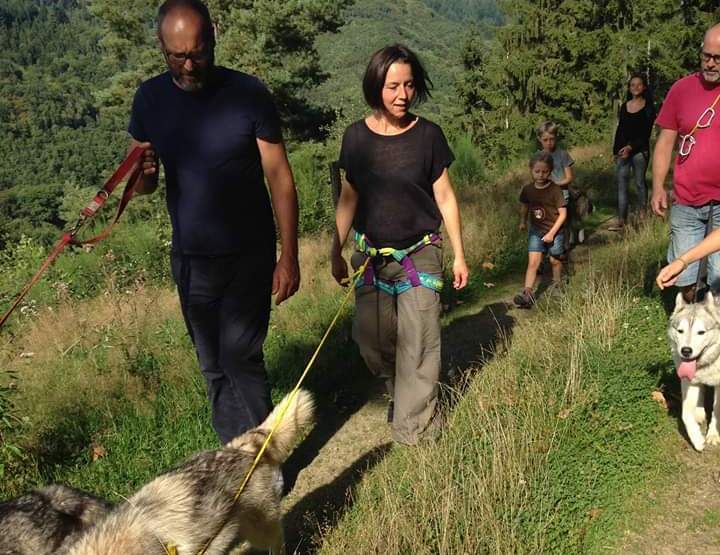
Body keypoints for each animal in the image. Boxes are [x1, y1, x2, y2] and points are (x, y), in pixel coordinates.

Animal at [668, 292, 720, 452]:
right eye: (680, 331)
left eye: (701, 332)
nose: (686, 351)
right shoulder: (688, 381)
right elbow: (685, 414)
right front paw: (697, 439)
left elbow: (717, 410)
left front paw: (713, 435)